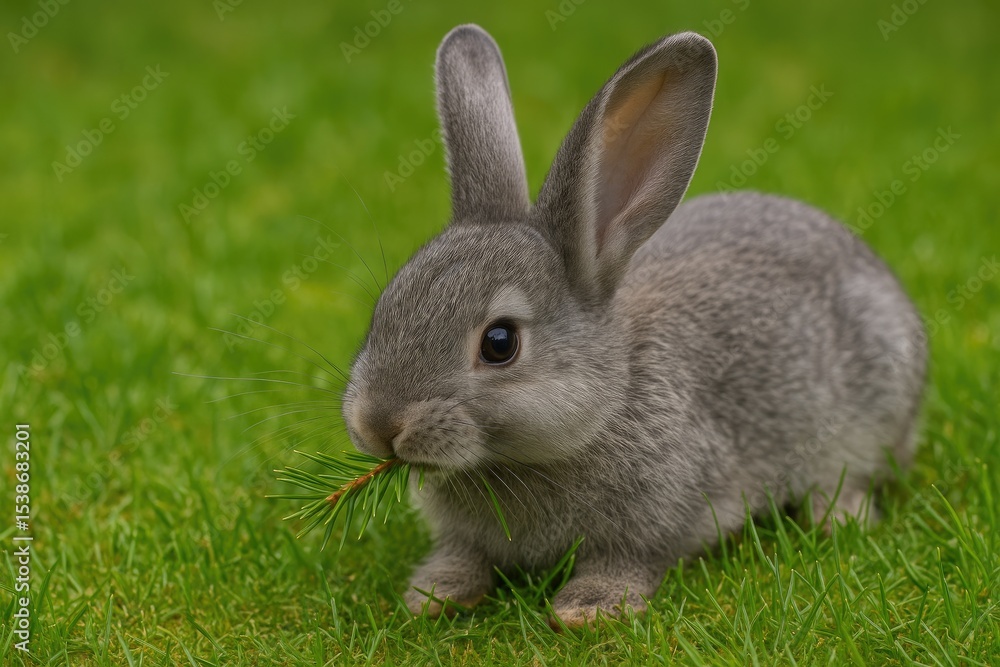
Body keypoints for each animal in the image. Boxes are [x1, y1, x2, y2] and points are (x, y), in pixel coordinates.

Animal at [340, 24, 927, 629]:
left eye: (500, 343)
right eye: (385, 307)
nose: (378, 424)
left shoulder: (656, 518)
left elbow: (627, 559)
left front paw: (588, 607)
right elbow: (465, 554)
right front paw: (433, 595)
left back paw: (836, 517)